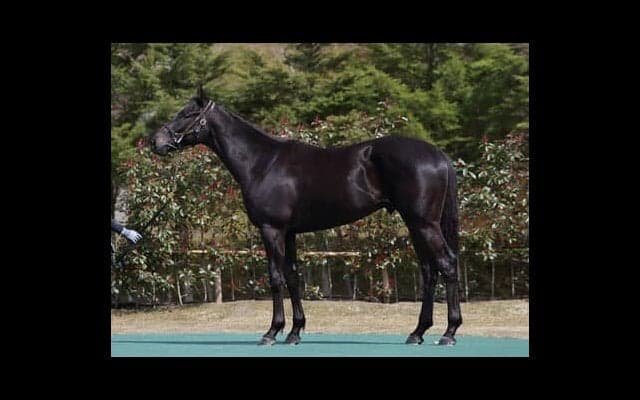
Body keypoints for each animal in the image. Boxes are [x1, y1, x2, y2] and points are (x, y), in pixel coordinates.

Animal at [149, 86, 462, 346]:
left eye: (187, 114)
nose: (155, 142)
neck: (262, 162)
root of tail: (438, 155)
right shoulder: (288, 233)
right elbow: (292, 276)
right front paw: (295, 332)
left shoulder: (271, 229)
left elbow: (275, 277)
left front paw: (271, 332)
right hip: (415, 224)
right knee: (429, 271)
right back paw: (418, 332)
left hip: (424, 224)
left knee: (447, 264)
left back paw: (449, 332)